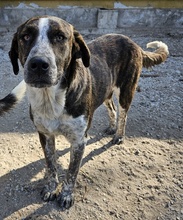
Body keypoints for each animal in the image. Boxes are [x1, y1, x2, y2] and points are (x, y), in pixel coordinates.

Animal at [2, 15, 169, 210]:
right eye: (26, 36)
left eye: (60, 37)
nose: (38, 64)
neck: (51, 99)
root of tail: (131, 41)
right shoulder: (45, 135)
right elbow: (51, 165)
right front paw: (51, 188)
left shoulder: (79, 141)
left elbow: (72, 172)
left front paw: (66, 195)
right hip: (105, 91)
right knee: (112, 109)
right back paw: (111, 128)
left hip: (126, 91)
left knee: (123, 114)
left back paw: (119, 135)